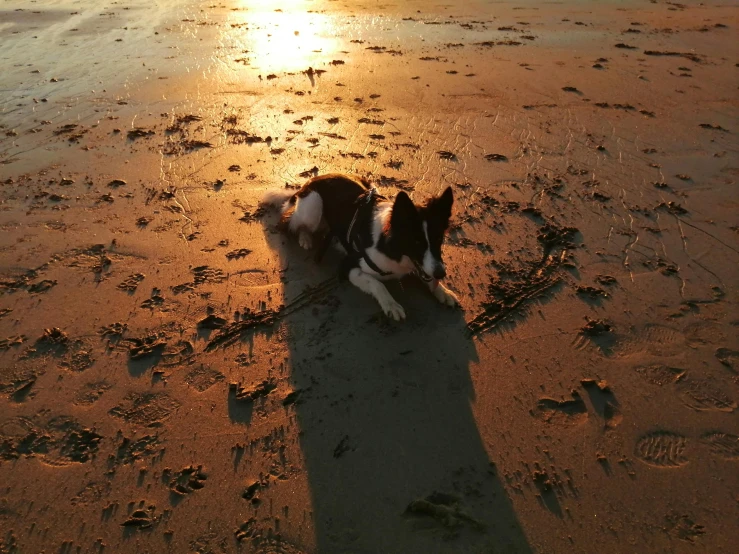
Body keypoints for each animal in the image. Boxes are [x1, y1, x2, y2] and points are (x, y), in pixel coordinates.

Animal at [264, 172, 460, 320]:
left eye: (438, 239)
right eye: (416, 242)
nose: (441, 273)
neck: (391, 246)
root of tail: (311, 181)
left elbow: (426, 276)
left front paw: (443, 291)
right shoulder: (348, 267)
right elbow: (377, 283)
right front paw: (391, 304)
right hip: (313, 205)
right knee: (289, 220)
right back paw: (305, 238)